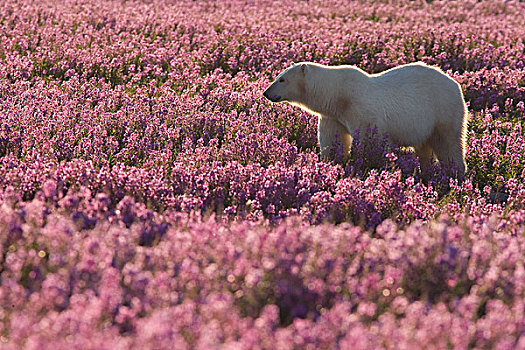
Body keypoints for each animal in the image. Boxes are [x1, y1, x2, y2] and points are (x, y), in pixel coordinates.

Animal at [262, 61, 466, 176]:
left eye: (282, 79)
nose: (266, 92)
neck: (338, 96)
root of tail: (456, 85)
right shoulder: (333, 116)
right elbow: (332, 140)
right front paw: (330, 163)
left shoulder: (361, 110)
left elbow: (369, 141)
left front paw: (365, 163)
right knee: (424, 148)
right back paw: (427, 173)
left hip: (443, 111)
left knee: (448, 144)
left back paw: (455, 174)